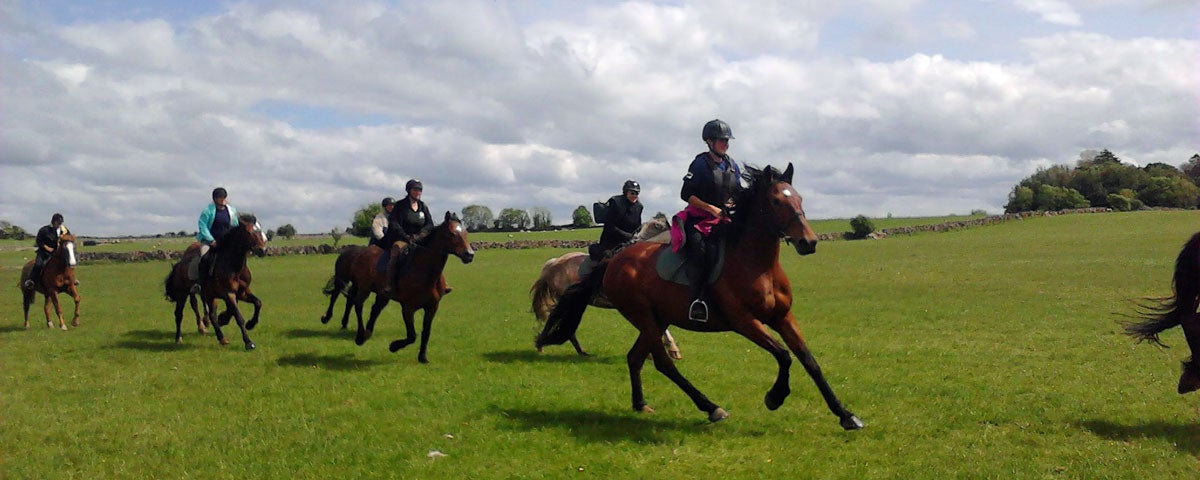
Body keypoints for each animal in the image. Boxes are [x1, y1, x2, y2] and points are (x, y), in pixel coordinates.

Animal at [194, 214, 267, 350]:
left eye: (259, 229)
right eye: (249, 232)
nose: (262, 250)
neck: (234, 266)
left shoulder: (242, 292)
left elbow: (258, 303)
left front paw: (250, 324)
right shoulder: (229, 293)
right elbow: (238, 317)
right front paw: (248, 342)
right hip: (209, 296)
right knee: (212, 316)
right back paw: (222, 338)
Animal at [346, 212, 474, 363]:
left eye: (465, 232)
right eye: (451, 233)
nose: (469, 255)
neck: (423, 271)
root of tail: (362, 253)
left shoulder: (432, 307)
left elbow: (426, 332)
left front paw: (423, 357)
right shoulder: (408, 308)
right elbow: (412, 335)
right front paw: (393, 346)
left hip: (382, 295)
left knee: (375, 309)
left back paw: (367, 333)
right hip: (364, 288)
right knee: (358, 305)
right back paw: (360, 336)